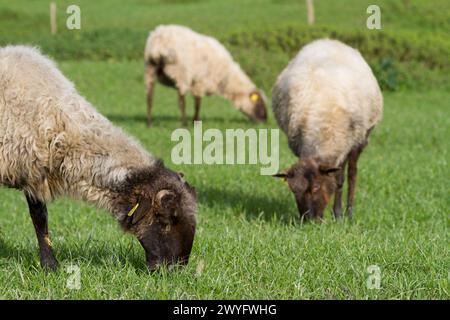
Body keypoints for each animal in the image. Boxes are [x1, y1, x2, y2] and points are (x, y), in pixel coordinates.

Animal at [0, 44, 197, 270]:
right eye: (164, 220)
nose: (175, 269)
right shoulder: (33, 170)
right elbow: (40, 218)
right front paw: (50, 266)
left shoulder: (36, 172)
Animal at [270, 38, 384, 220]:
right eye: (293, 190)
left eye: (316, 187)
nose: (308, 220)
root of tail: (329, 41)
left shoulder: (345, 145)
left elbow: (339, 180)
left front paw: (338, 215)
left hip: (361, 138)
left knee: (352, 174)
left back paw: (349, 212)